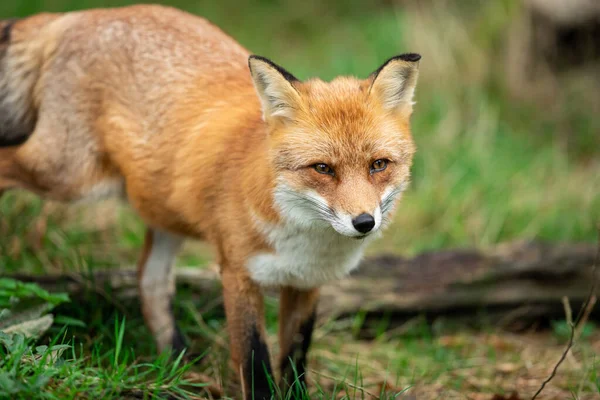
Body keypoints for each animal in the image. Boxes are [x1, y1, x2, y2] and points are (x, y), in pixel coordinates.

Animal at [0, 3, 420, 400]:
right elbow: (255, 363)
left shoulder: (306, 284)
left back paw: (178, 364)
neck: (304, 239)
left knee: (149, 280)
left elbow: (295, 361)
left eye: (378, 165)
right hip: (67, 175)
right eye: (322, 168)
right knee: (8, 162)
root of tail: (78, 16)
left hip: (160, 210)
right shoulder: (238, 275)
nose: (364, 222)